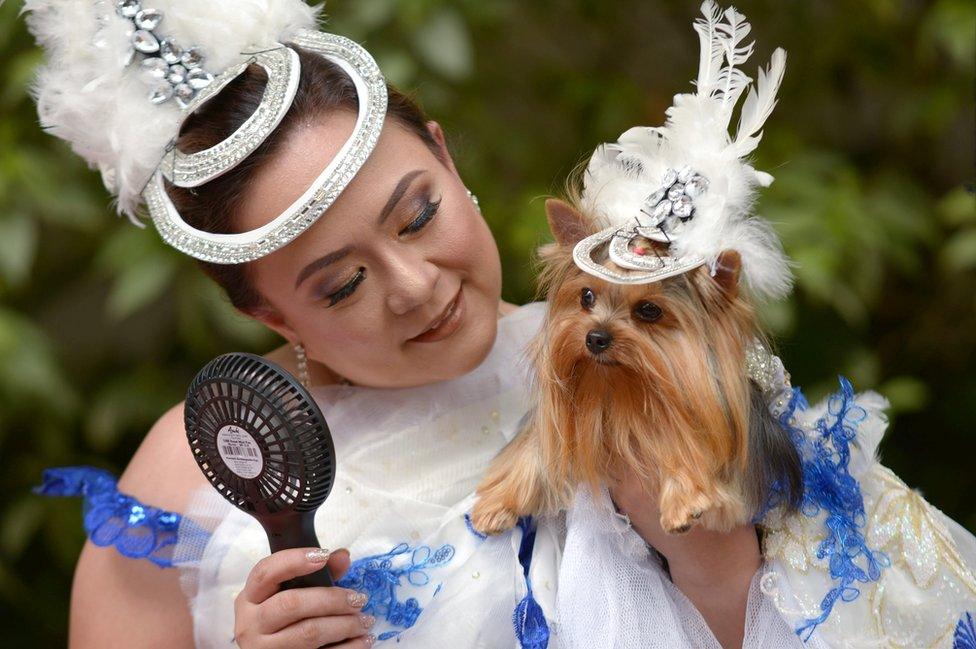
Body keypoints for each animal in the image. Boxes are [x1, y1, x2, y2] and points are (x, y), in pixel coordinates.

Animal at [470, 200, 800, 536]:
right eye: (586, 296)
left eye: (649, 310)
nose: (595, 338)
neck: (622, 389)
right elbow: (534, 446)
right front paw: (498, 502)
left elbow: (689, 445)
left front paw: (684, 499)